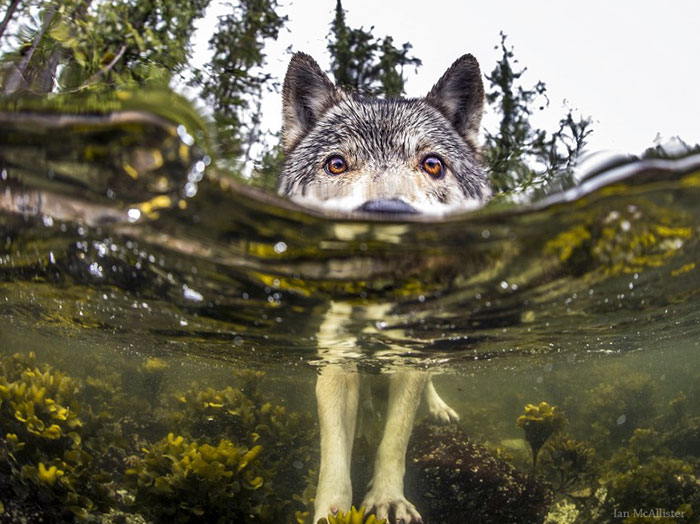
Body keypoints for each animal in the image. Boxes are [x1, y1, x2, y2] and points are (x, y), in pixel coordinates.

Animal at [278, 52, 490, 524]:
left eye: (433, 164)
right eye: (337, 164)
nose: (388, 213)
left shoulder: (409, 359)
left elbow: (395, 439)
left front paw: (388, 501)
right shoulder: (336, 362)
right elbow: (334, 454)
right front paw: (333, 512)